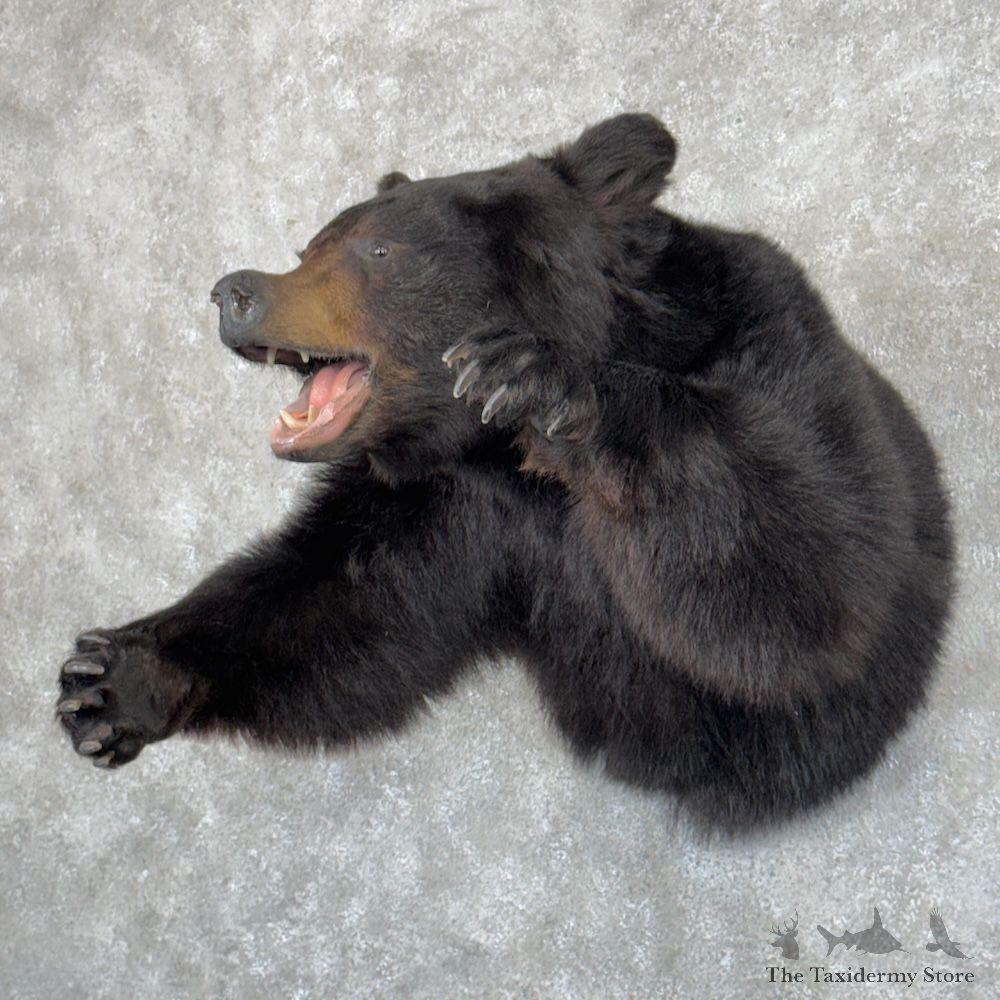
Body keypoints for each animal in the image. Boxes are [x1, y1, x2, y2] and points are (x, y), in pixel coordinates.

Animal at [57, 114, 953, 832]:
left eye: (376, 249)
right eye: (308, 245)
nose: (233, 294)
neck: (503, 458)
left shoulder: (763, 343)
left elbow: (799, 579)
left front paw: (548, 381)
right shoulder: (441, 505)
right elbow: (342, 594)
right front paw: (109, 679)